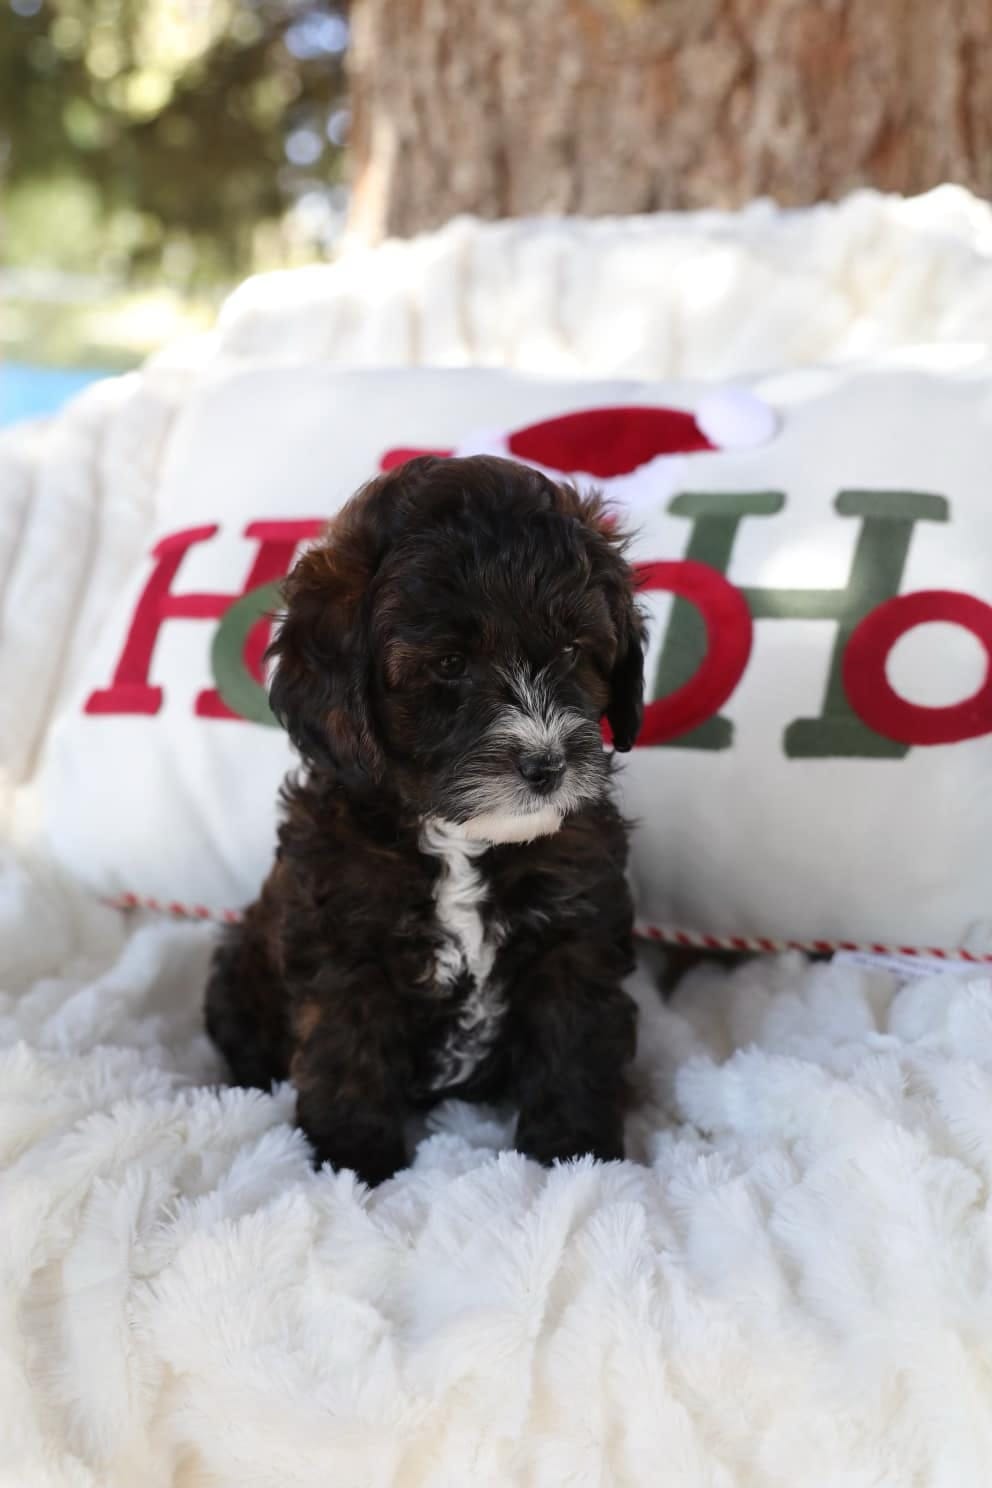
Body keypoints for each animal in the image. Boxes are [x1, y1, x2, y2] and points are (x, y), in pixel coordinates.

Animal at [205, 454, 646, 1185]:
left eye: (569, 651)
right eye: (449, 665)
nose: (547, 765)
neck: (461, 839)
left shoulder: (573, 927)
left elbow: (574, 1039)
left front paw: (575, 1152)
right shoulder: (344, 943)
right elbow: (347, 1050)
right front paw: (353, 1161)